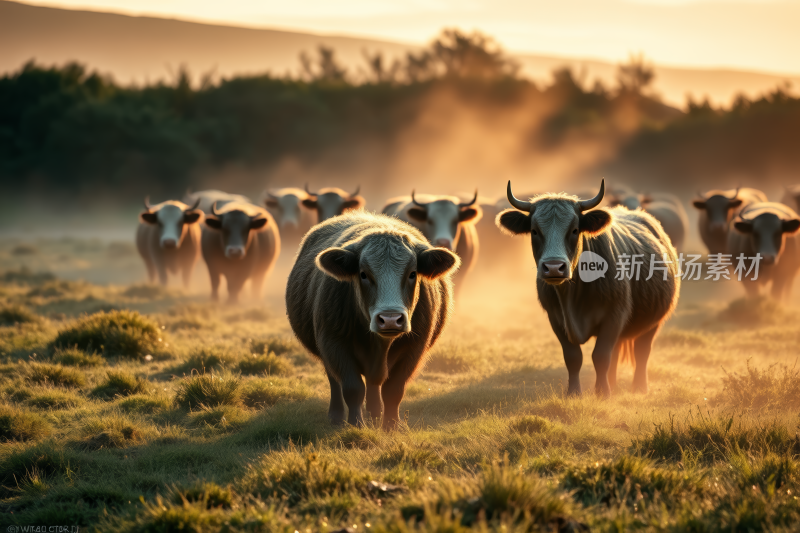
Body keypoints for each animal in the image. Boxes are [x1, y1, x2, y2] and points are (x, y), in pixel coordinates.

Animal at [288, 211, 462, 428]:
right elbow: (352, 388)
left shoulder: (414, 348)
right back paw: (336, 417)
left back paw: (375, 414)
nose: (390, 319)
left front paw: (390, 425)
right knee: (335, 382)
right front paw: (356, 424)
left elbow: (393, 390)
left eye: (412, 273)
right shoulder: (333, 343)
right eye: (363, 274)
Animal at [496, 181, 680, 396]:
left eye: (575, 230)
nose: (554, 267)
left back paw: (639, 387)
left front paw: (603, 393)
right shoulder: (556, 318)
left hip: (654, 321)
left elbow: (600, 356)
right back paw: (614, 384)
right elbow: (573, 357)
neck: (573, 300)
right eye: (534, 230)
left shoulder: (614, 315)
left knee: (641, 351)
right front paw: (575, 392)